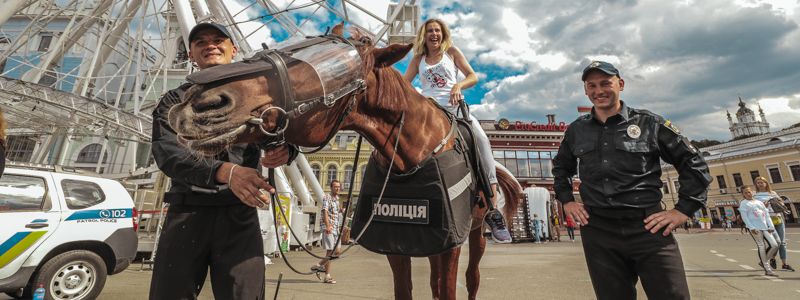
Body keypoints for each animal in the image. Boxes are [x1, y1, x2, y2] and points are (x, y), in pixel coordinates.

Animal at [167, 25, 524, 300]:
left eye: (336, 66)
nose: (198, 102)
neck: (411, 154)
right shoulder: (402, 245)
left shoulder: (451, 244)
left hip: (475, 234)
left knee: (472, 278)